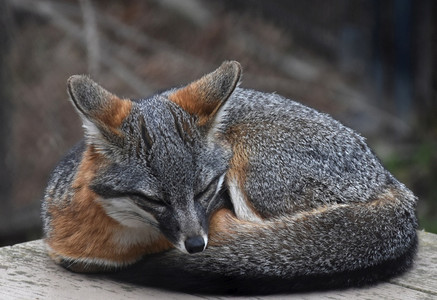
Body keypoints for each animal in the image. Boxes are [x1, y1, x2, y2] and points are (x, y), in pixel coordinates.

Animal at [42, 60, 418, 292]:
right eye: (153, 199)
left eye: (205, 189)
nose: (197, 245)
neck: (126, 243)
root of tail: (394, 184)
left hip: (251, 167)